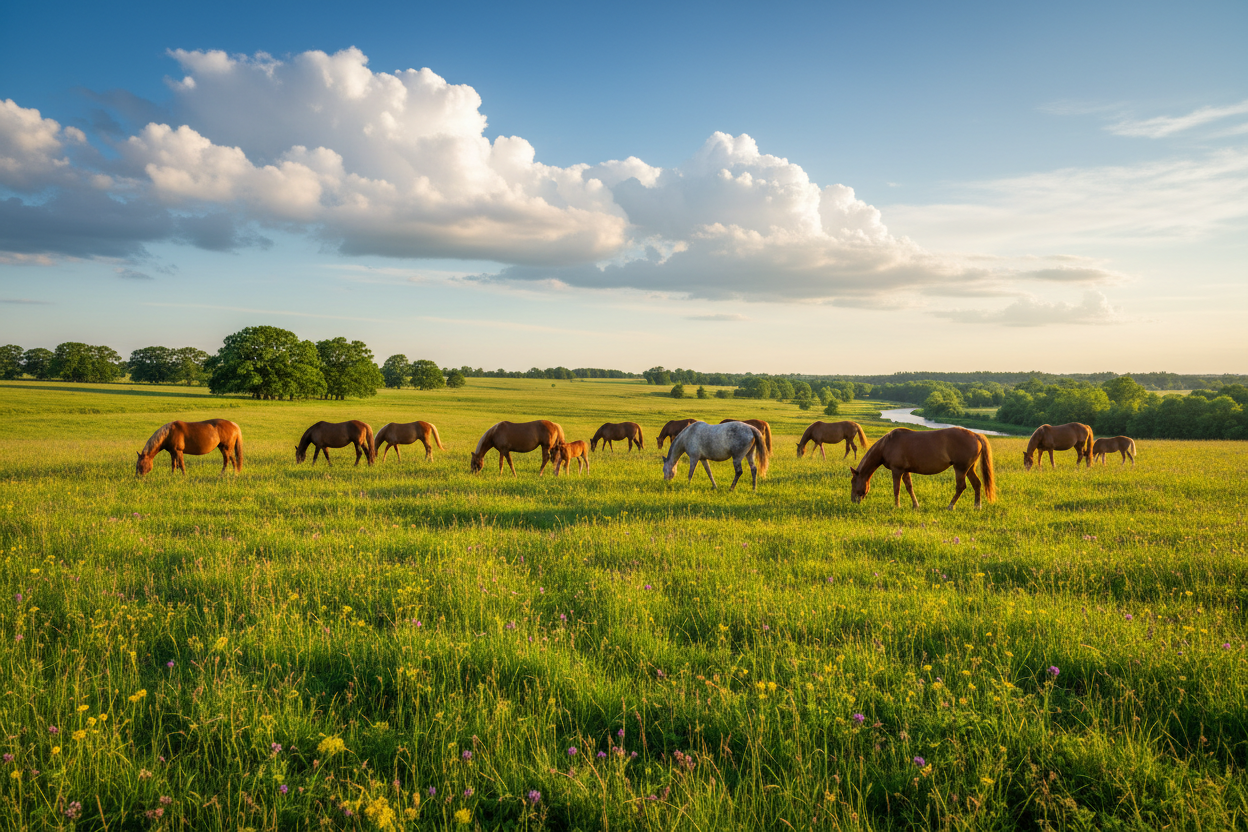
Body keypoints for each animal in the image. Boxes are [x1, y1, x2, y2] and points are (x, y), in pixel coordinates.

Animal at [850, 427, 996, 510]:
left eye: (852, 482)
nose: (853, 501)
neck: (887, 444)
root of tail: (976, 435)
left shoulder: (897, 470)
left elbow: (896, 489)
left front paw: (897, 506)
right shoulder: (905, 471)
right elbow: (909, 487)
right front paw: (915, 505)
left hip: (960, 469)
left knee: (961, 487)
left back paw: (950, 506)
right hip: (969, 469)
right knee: (977, 484)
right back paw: (977, 506)